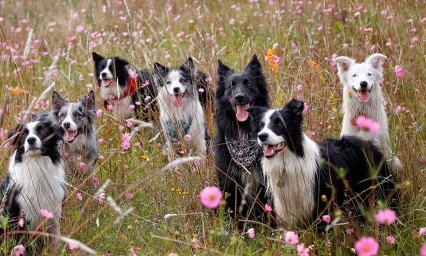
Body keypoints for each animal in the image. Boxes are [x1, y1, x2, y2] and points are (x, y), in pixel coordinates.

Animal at [248, 99, 398, 227]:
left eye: (279, 123)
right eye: (261, 126)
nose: (261, 136)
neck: (289, 160)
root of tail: (367, 143)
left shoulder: (320, 206)